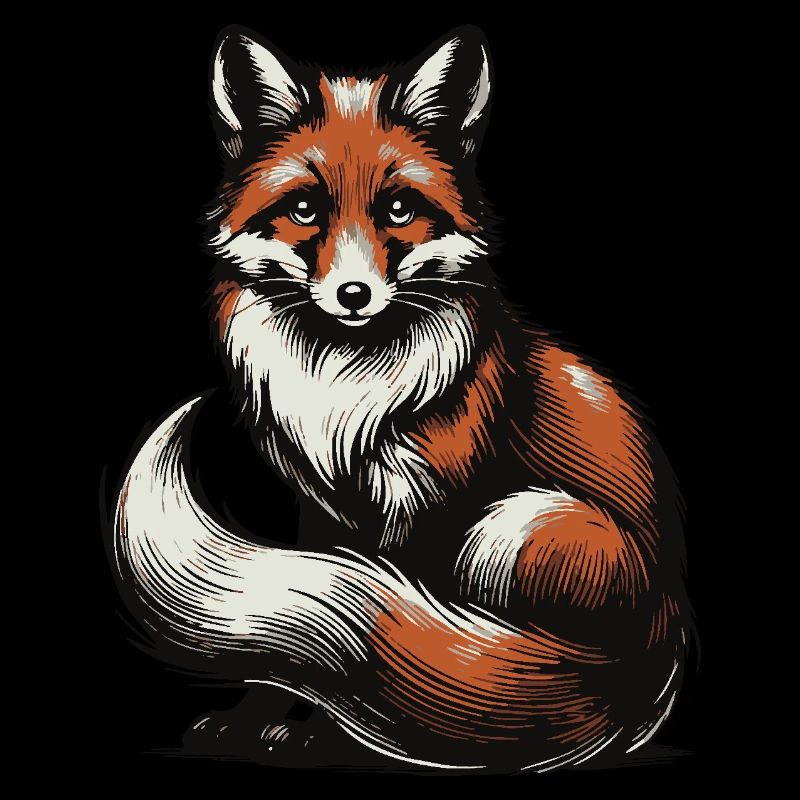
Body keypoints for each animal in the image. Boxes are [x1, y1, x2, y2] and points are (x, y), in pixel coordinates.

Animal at [111, 24, 690, 772]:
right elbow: (300, 641)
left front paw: (334, 735)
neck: (346, 392)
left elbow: (389, 651)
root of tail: (661, 642)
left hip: (518, 525)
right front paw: (257, 720)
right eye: (305, 209)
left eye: (398, 209)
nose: (354, 295)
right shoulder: (323, 512)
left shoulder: (432, 507)